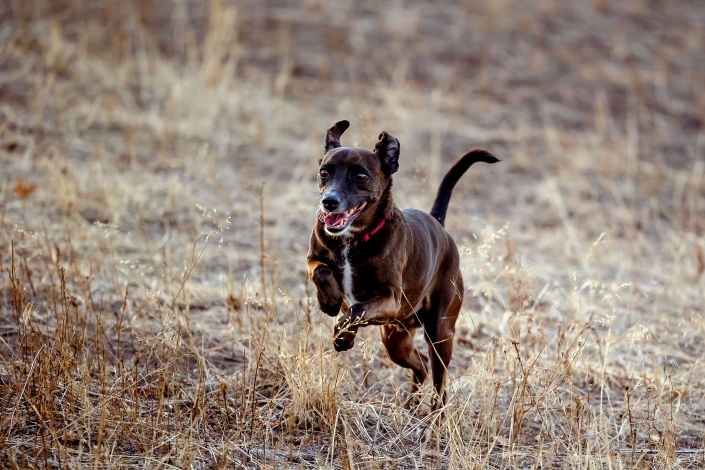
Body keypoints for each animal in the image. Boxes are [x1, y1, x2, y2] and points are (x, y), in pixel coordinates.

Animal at [306, 120, 498, 408]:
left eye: (360, 176)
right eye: (324, 172)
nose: (329, 202)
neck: (355, 237)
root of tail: (438, 224)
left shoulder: (390, 299)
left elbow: (356, 310)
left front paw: (342, 336)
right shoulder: (314, 257)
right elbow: (321, 270)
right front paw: (329, 301)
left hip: (440, 333)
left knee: (439, 381)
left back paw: (436, 414)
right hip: (396, 340)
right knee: (421, 365)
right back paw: (410, 404)